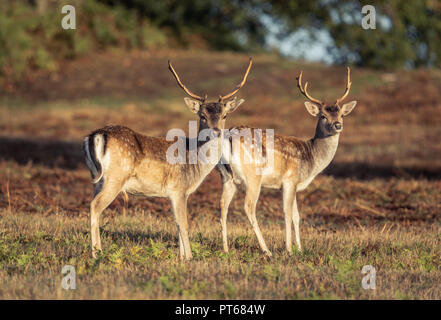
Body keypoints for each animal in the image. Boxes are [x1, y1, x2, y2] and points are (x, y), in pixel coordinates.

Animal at [81, 58, 251, 260]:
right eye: (202, 116)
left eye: (224, 115)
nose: (215, 131)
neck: (195, 165)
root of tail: (95, 135)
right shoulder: (179, 189)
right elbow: (184, 225)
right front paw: (190, 257)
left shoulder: (173, 193)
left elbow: (177, 224)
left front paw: (181, 257)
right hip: (115, 178)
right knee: (95, 206)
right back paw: (96, 253)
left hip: (97, 179)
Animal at [217, 67, 358, 258]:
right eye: (322, 116)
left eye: (342, 114)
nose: (337, 125)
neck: (311, 158)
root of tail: (229, 137)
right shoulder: (289, 180)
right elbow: (287, 213)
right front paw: (289, 249)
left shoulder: (295, 184)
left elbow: (297, 216)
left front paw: (300, 248)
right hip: (253, 176)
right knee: (249, 207)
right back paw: (267, 250)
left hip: (227, 177)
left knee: (223, 206)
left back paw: (225, 249)